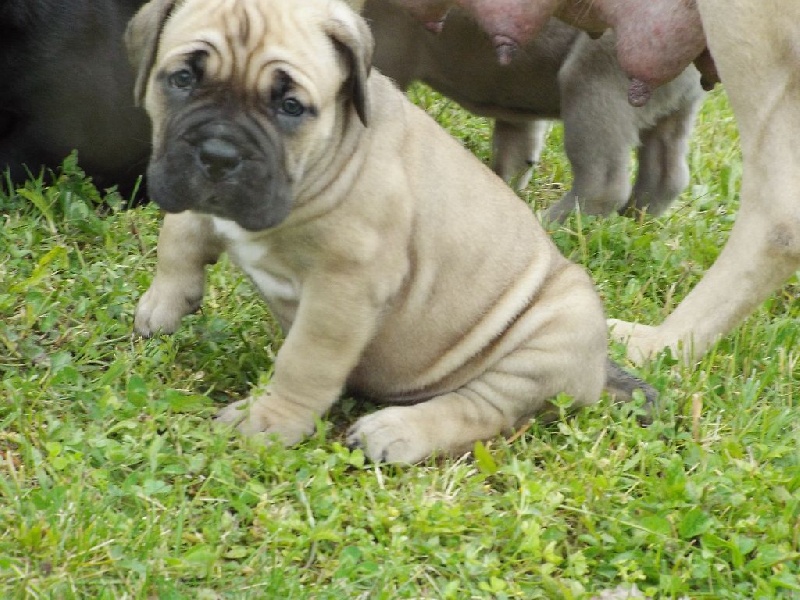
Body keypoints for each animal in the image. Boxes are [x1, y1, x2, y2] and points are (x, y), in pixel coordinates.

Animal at [127, 0, 655, 463]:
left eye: (291, 107)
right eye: (183, 79)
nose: (218, 155)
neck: (328, 158)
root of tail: (597, 370)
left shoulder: (342, 291)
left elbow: (303, 363)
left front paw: (268, 420)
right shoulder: (193, 192)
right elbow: (181, 231)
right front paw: (164, 302)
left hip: (546, 340)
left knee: (480, 408)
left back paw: (394, 431)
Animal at [363, 0, 704, 220]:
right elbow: (518, 152)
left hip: (595, 85)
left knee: (603, 183)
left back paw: (552, 224)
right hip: (673, 109)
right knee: (667, 174)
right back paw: (633, 221)